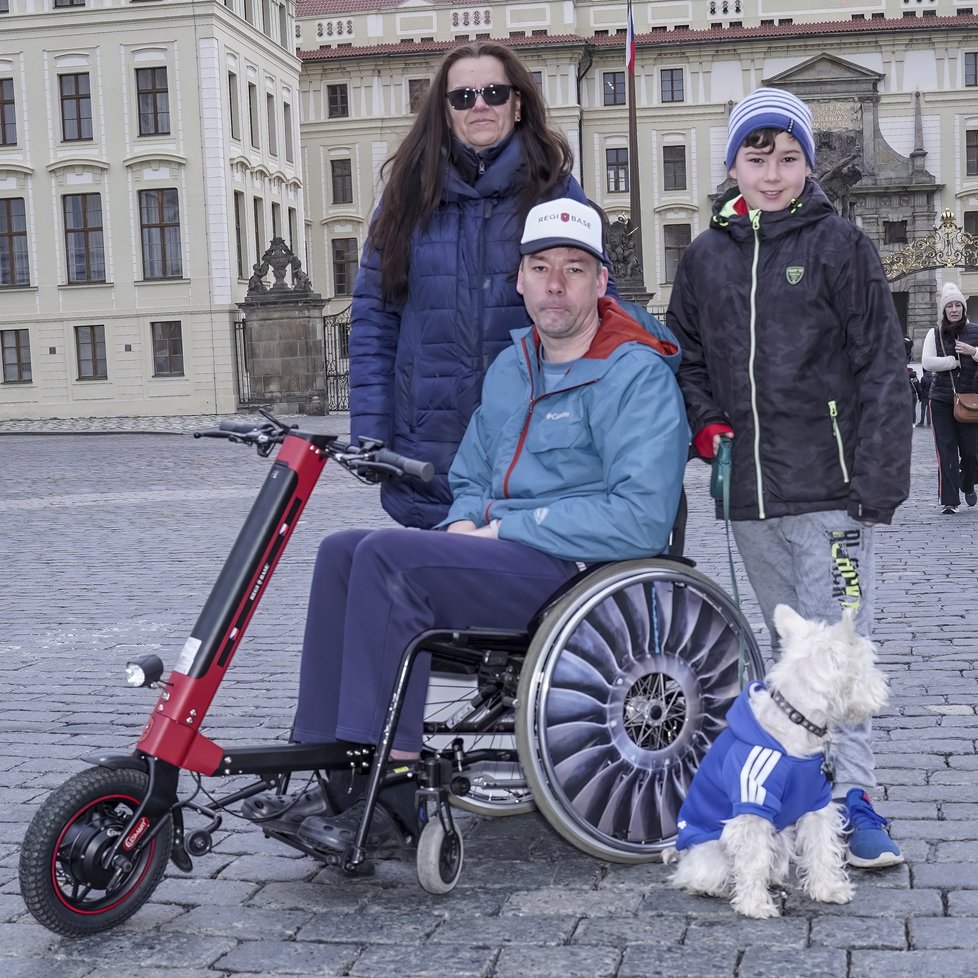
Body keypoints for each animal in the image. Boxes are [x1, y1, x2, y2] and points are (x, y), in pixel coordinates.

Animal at [668, 604, 888, 916]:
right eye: (869, 663)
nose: (884, 689)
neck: (797, 722)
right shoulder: (753, 806)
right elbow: (753, 859)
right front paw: (755, 905)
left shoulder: (816, 803)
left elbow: (822, 847)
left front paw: (828, 889)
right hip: (712, 852)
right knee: (695, 876)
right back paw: (715, 888)